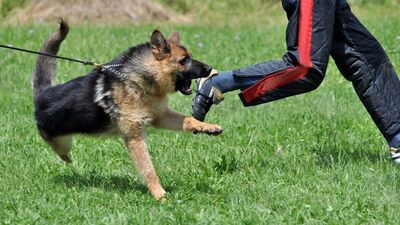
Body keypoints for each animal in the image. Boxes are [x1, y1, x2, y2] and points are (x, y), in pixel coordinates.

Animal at [32, 21, 222, 200]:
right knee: (61, 151)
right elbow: (148, 169)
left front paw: (208, 127)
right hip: (62, 140)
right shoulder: (135, 138)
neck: (138, 80)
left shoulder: (160, 116)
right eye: (184, 60)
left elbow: (188, 120)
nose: (209, 68)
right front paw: (159, 195)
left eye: (191, 57)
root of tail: (42, 95)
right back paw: (66, 158)